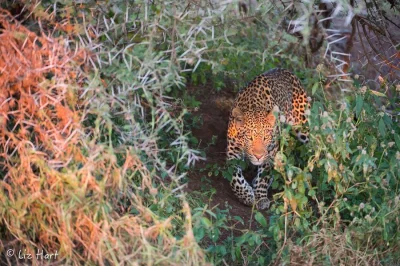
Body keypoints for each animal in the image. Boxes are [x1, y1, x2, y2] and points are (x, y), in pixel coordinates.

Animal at [225, 68, 310, 210]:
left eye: (266, 138)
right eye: (249, 138)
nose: (258, 156)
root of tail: (284, 70)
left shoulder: (271, 151)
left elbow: (265, 175)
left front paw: (261, 197)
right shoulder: (233, 150)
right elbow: (234, 177)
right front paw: (247, 196)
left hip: (303, 128)